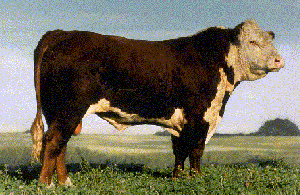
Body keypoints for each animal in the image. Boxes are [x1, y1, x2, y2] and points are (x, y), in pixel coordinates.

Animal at [29, 19, 284, 186]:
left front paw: (177, 178)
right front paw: (197, 179)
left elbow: (179, 150)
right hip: (69, 109)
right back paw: (46, 184)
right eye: (252, 42)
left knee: (60, 144)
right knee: (54, 141)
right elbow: (196, 149)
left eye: (270, 41)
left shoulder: (180, 120)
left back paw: (65, 182)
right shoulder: (201, 116)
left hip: (57, 111)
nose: (278, 60)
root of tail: (61, 33)